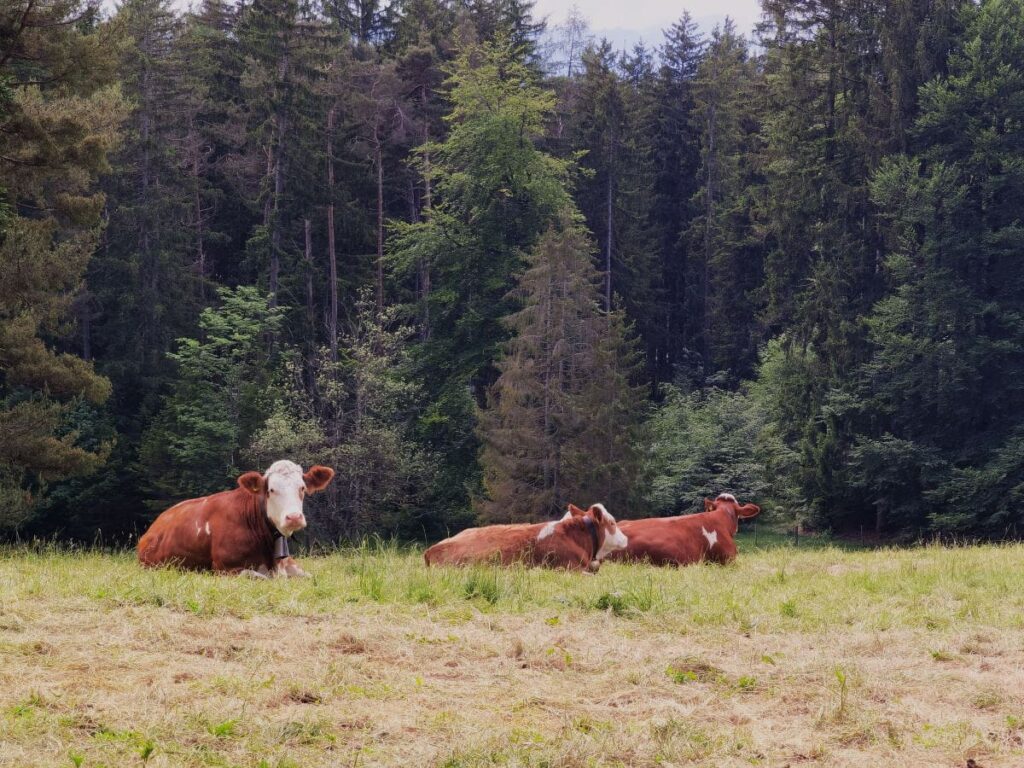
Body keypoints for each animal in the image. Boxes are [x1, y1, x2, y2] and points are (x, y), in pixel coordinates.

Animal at [136, 462, 333, 577]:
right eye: (271, 490)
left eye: (302, 488)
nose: (294, 517)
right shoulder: (225, 568)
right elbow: (257, 576)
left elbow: (310, 577)